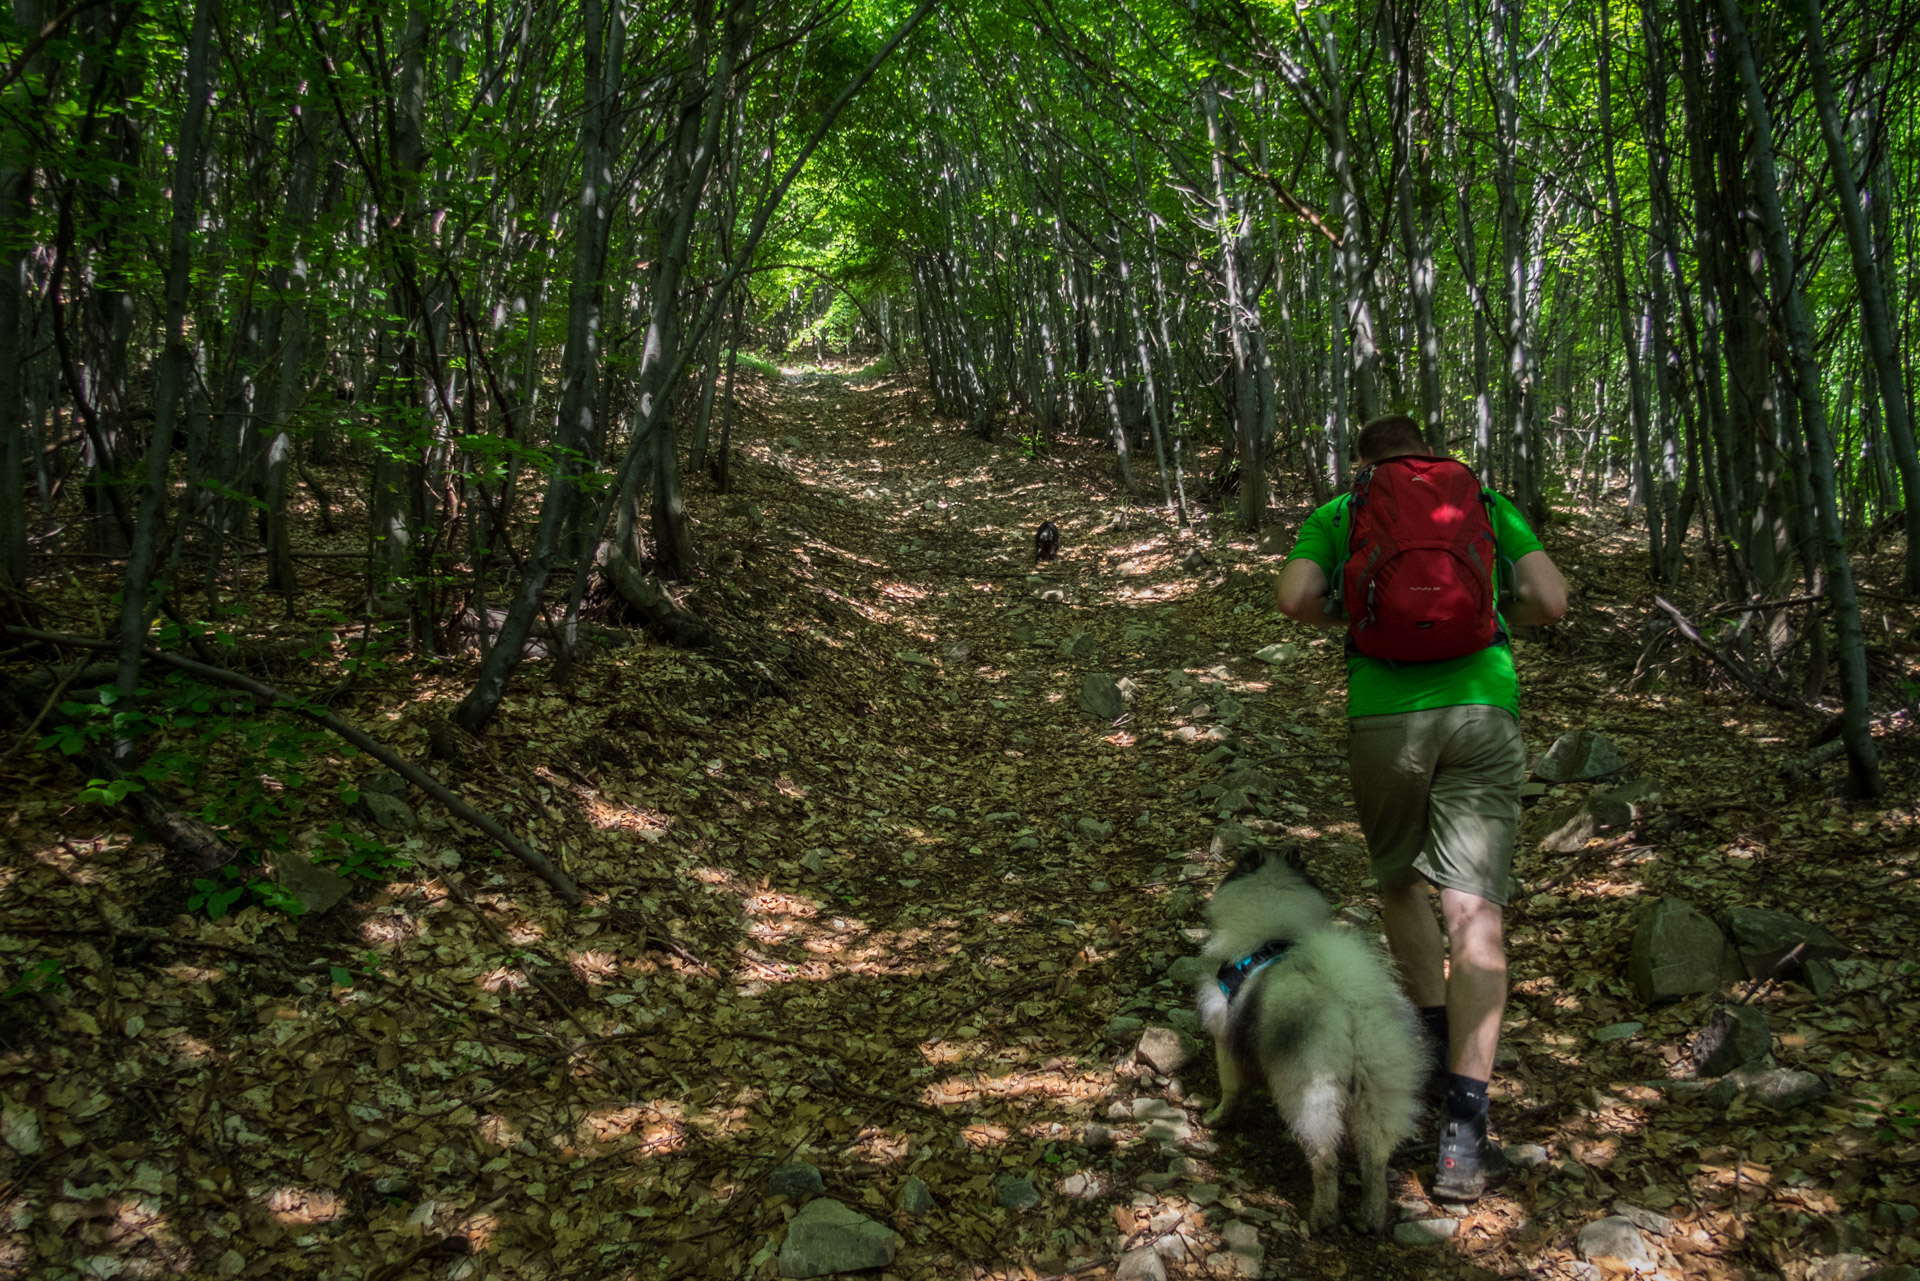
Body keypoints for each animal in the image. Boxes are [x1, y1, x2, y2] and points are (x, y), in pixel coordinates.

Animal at [1198, 852, 1428, 1229]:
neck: (1274, 930)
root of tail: (1349, 1008)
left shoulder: (1224, 1037)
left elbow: (1230, 1089)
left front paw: (1217, 1118)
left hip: (1310, 1092)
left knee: (1325, 1158)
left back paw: (1323, 1216)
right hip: (1378, 1090)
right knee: (1375, 1158)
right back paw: (1371, 1216)